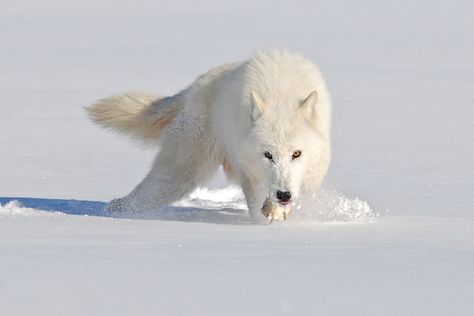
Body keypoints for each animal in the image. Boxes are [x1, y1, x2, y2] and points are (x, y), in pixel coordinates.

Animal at [86, 50, 330, 222]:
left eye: (296, 154)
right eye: (268, 155)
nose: (283, 194)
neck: (280, 94)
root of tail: (193, 88)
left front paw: (278, 211)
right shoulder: (249, 171)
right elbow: (258, 201)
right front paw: (271, 213)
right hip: (177, 178)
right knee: (133, 200)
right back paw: (111, 212)